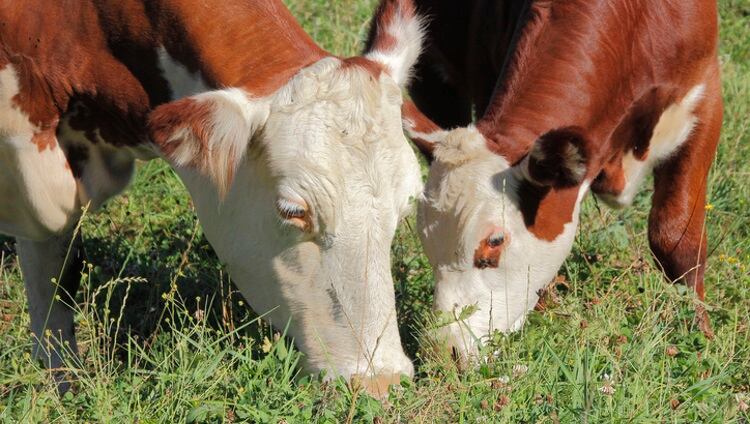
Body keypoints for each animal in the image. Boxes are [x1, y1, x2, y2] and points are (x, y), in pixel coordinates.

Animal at [394, 0, 722, 360]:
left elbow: (676, 238)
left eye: (495, 242)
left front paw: (699, 334)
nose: (444, 350)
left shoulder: (706, 92)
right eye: (428, 244)